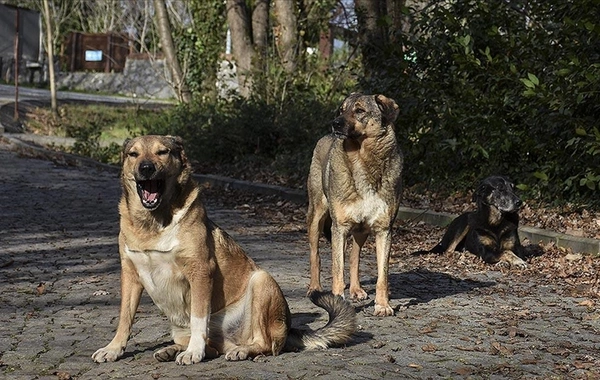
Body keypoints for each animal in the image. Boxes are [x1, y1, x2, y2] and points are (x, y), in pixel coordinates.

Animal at [92, 135, 356, 364]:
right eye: (133, 154)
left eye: (162, 152)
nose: (146, 168)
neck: (153, 224)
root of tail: (289, 328)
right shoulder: (130, 275)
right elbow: (125, 318)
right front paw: (113, 349)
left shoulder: (200, 271)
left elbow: (199, 318)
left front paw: (193, 352)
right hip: (180, 327)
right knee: (213, 347)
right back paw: (172, 350)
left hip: (261, 281)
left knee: (264, 344)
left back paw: (239, 350)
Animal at [308, 93, 400, 316]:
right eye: (341, 110)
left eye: (359, 110)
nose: (335, 123)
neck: (362, 159)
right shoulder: (339, 228)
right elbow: (337, 270)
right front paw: (337, 302)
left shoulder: (384, 230)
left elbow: (382, 276)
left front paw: (382, 305)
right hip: (317, 217)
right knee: (316, 255)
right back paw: (315, 288)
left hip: (361, 230)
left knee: (354, 257)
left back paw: (356, 289)